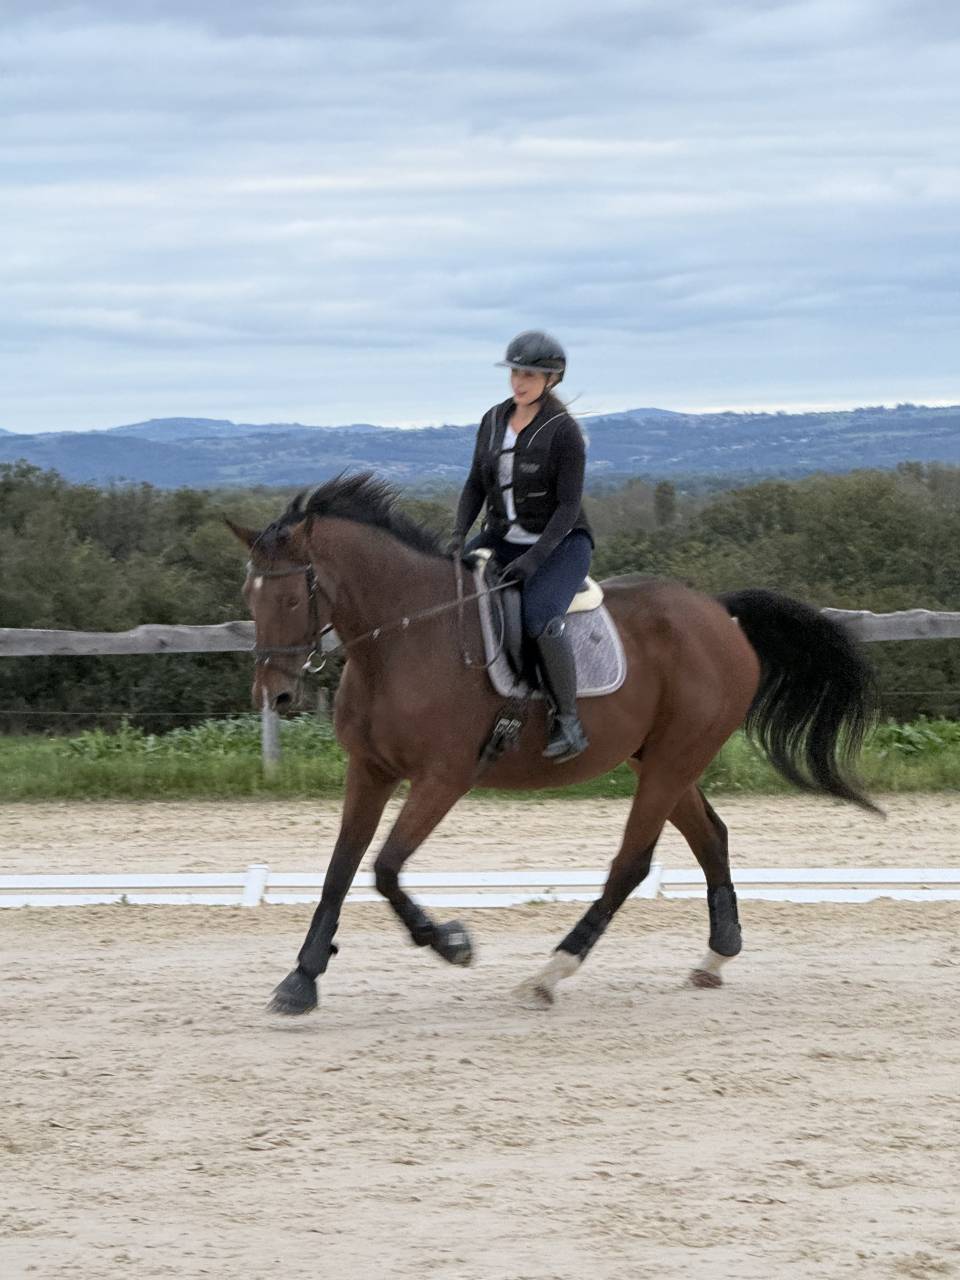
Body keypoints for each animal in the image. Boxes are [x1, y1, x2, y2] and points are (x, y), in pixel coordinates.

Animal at [227, 472, 878, 1015]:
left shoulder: (444, 777)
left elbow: (385, 868)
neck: (404, 638)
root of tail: (720, 614)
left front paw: (452, 943)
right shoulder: (369, 769)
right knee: (710, 836)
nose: (274, 696)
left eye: (291, 598)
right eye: (249, 599)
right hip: (661, 758)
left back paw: (549, 974)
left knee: (631, 864)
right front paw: (301, 980)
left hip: (672, 761)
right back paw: (715, 957)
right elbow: (341, 870)